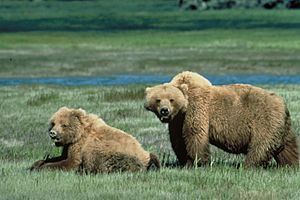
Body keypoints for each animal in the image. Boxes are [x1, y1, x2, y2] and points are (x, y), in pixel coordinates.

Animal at [30, 106, 161, 173]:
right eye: (53, 123)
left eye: (64, 124)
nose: (52, 133)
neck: (78, 134)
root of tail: (145, 154)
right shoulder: (69, 145)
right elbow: (61, 157)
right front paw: (36, 164)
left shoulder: (80, 145)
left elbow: (71, 162)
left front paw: (42, 168)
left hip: (116, 155)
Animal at [144, 82, 298, 168]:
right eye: (158, 100)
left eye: (171, 99)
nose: (165, 110)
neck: (184, 108)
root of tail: (283, 103)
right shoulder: (177, 121)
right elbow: (178, 141)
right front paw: (185, 162)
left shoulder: (197, 110)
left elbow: (195, 135)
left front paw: (200, 162)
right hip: (282, 126)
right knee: (288, 147)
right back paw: (291, 165)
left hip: (264, 119)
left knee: (260, 145)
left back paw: (247, 166)